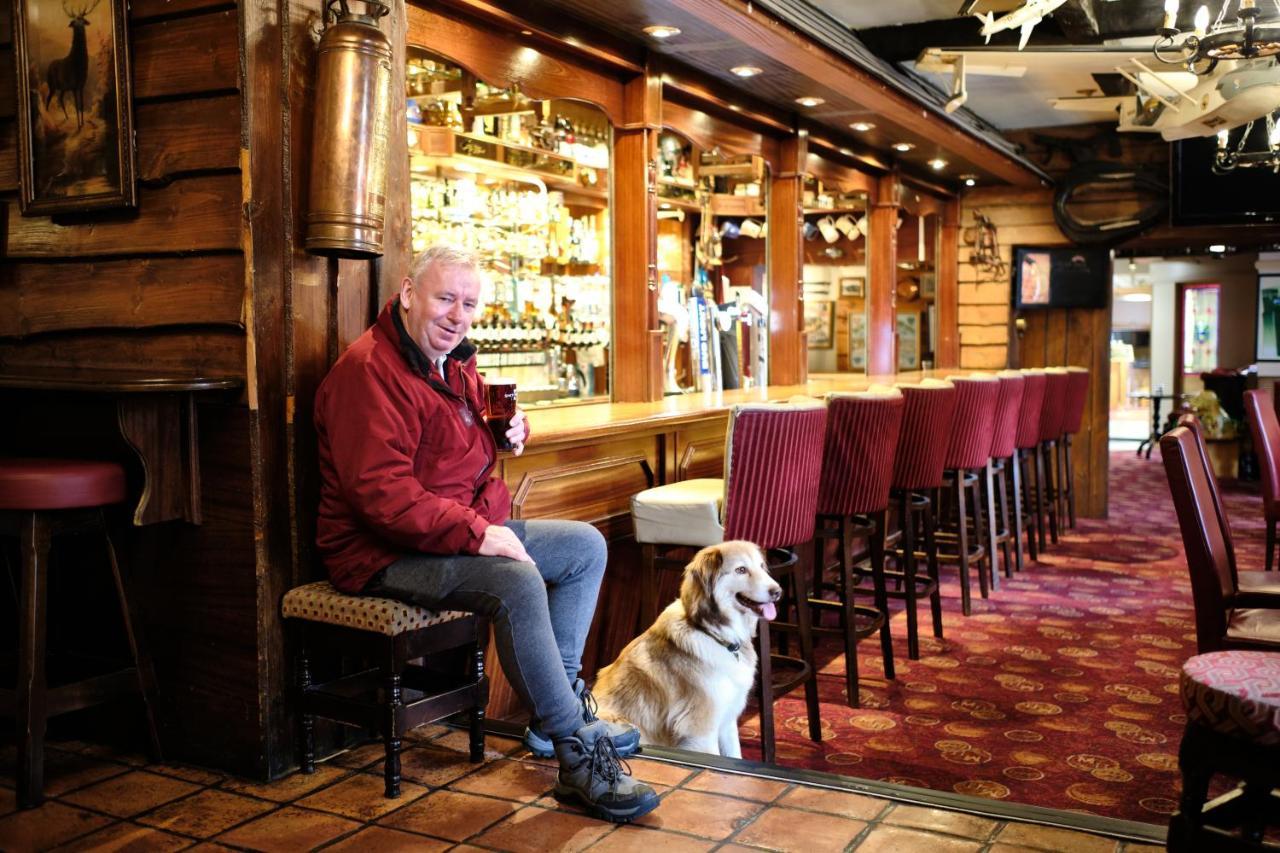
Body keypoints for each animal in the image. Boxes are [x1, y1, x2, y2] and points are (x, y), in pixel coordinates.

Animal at [588, 540, 778, 753]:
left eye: (761, 566)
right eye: (741, 570)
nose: (778, 591)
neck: (710, 632)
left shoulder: (727, 721)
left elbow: (735, 755)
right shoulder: (701, 731)